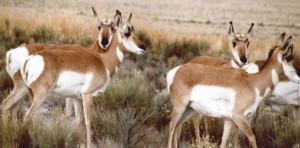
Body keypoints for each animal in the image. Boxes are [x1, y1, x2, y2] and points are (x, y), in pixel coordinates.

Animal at [19, 11, 145, 147]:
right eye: (127, 33)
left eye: (134, 31)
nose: (143, 47)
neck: (103, 61)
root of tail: (29, 59)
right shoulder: (87, 96)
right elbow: (88, 122)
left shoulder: (77, 98)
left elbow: (78, 121)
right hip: (40, 96)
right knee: (26, 116)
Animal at [166, 33, 298, 148]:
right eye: (289, 57)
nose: (298, 79)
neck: (252, 83)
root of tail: (175, 71)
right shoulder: (239, 118)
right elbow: (251, 138)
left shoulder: (229, 120)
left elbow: (224, 140)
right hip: (180, 108)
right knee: (172, 126)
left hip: (188, 110)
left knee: (177, 126)